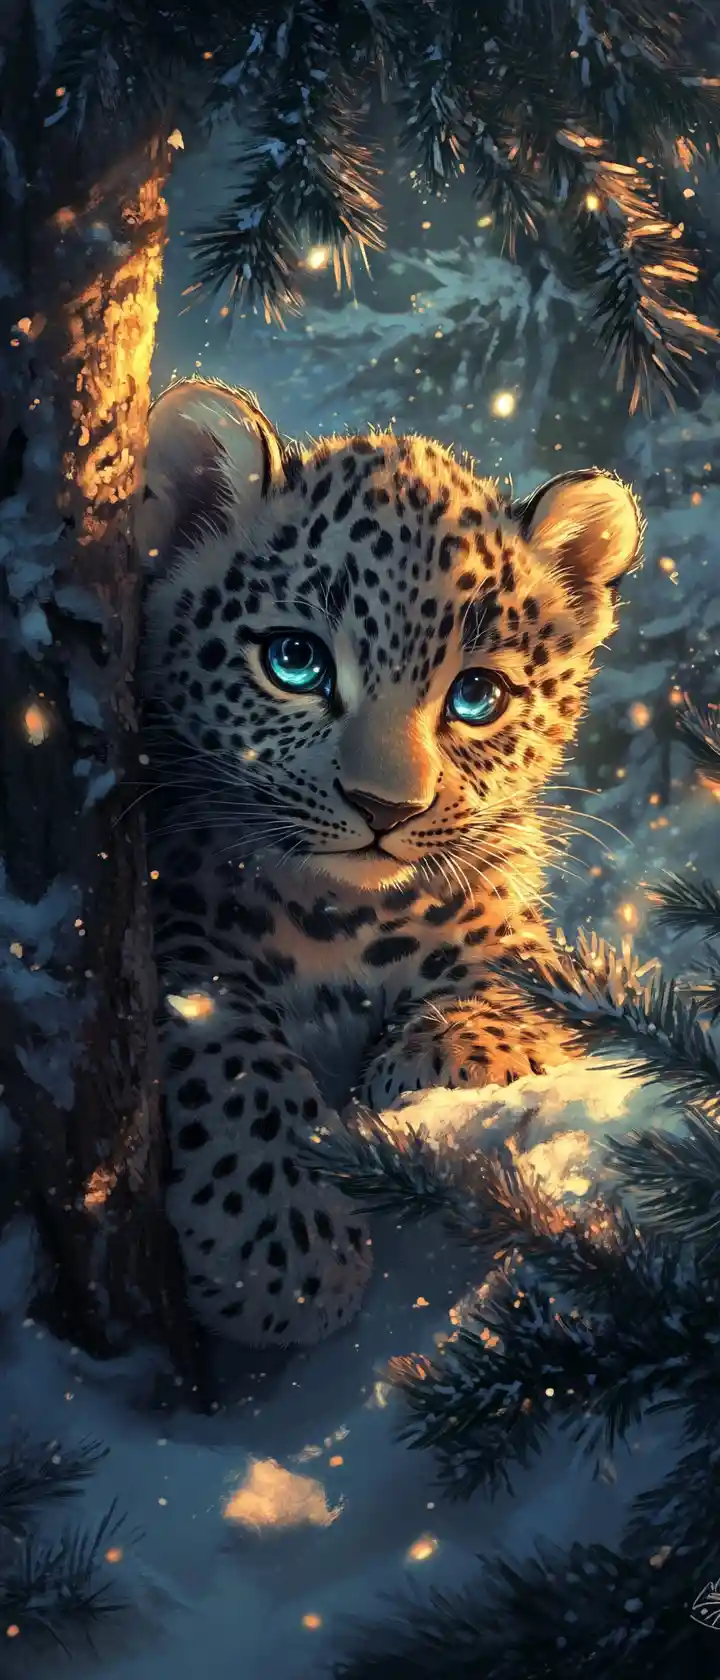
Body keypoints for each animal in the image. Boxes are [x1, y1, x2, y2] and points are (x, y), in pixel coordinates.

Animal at [137, 375, 642, 1349]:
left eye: (477, 697)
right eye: (294, 662)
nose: (386, 810)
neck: (340, 914)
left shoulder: (513, 927)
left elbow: (517, 990)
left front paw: (441, 1078)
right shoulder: (168, 917)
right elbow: (221, 1040)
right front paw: (282, 1248)